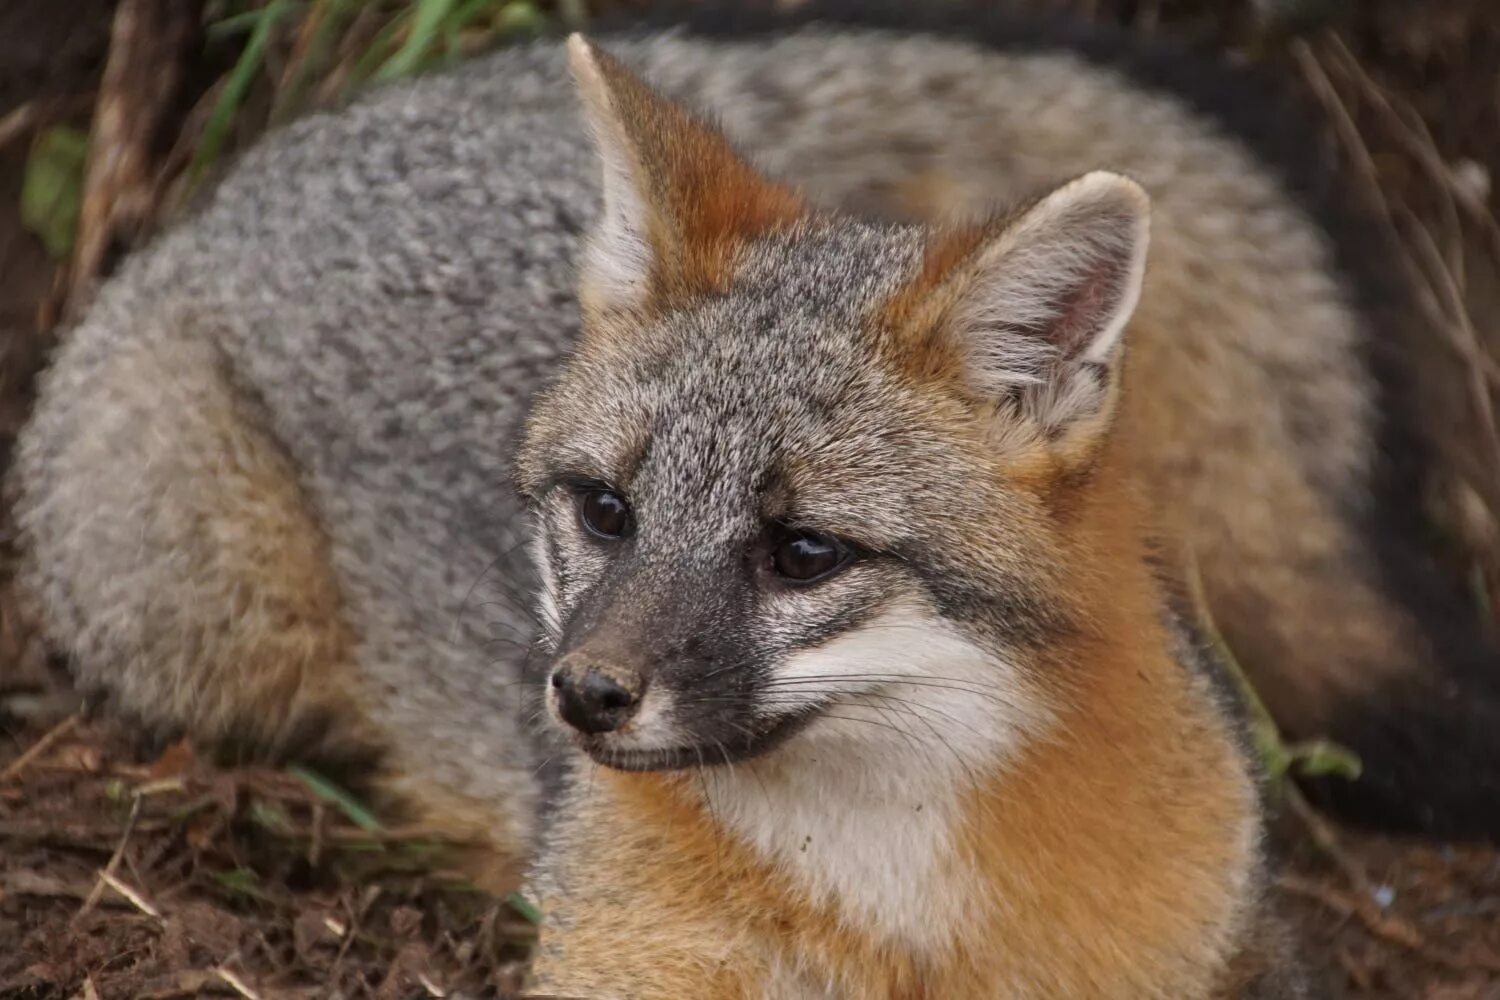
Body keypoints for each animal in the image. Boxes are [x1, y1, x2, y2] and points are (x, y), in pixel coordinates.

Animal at [5, 1, 1494, 995]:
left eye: (805, 551)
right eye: (607, 511)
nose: (581, 697)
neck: (894, 915)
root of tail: (298, 155)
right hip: (208, 630)